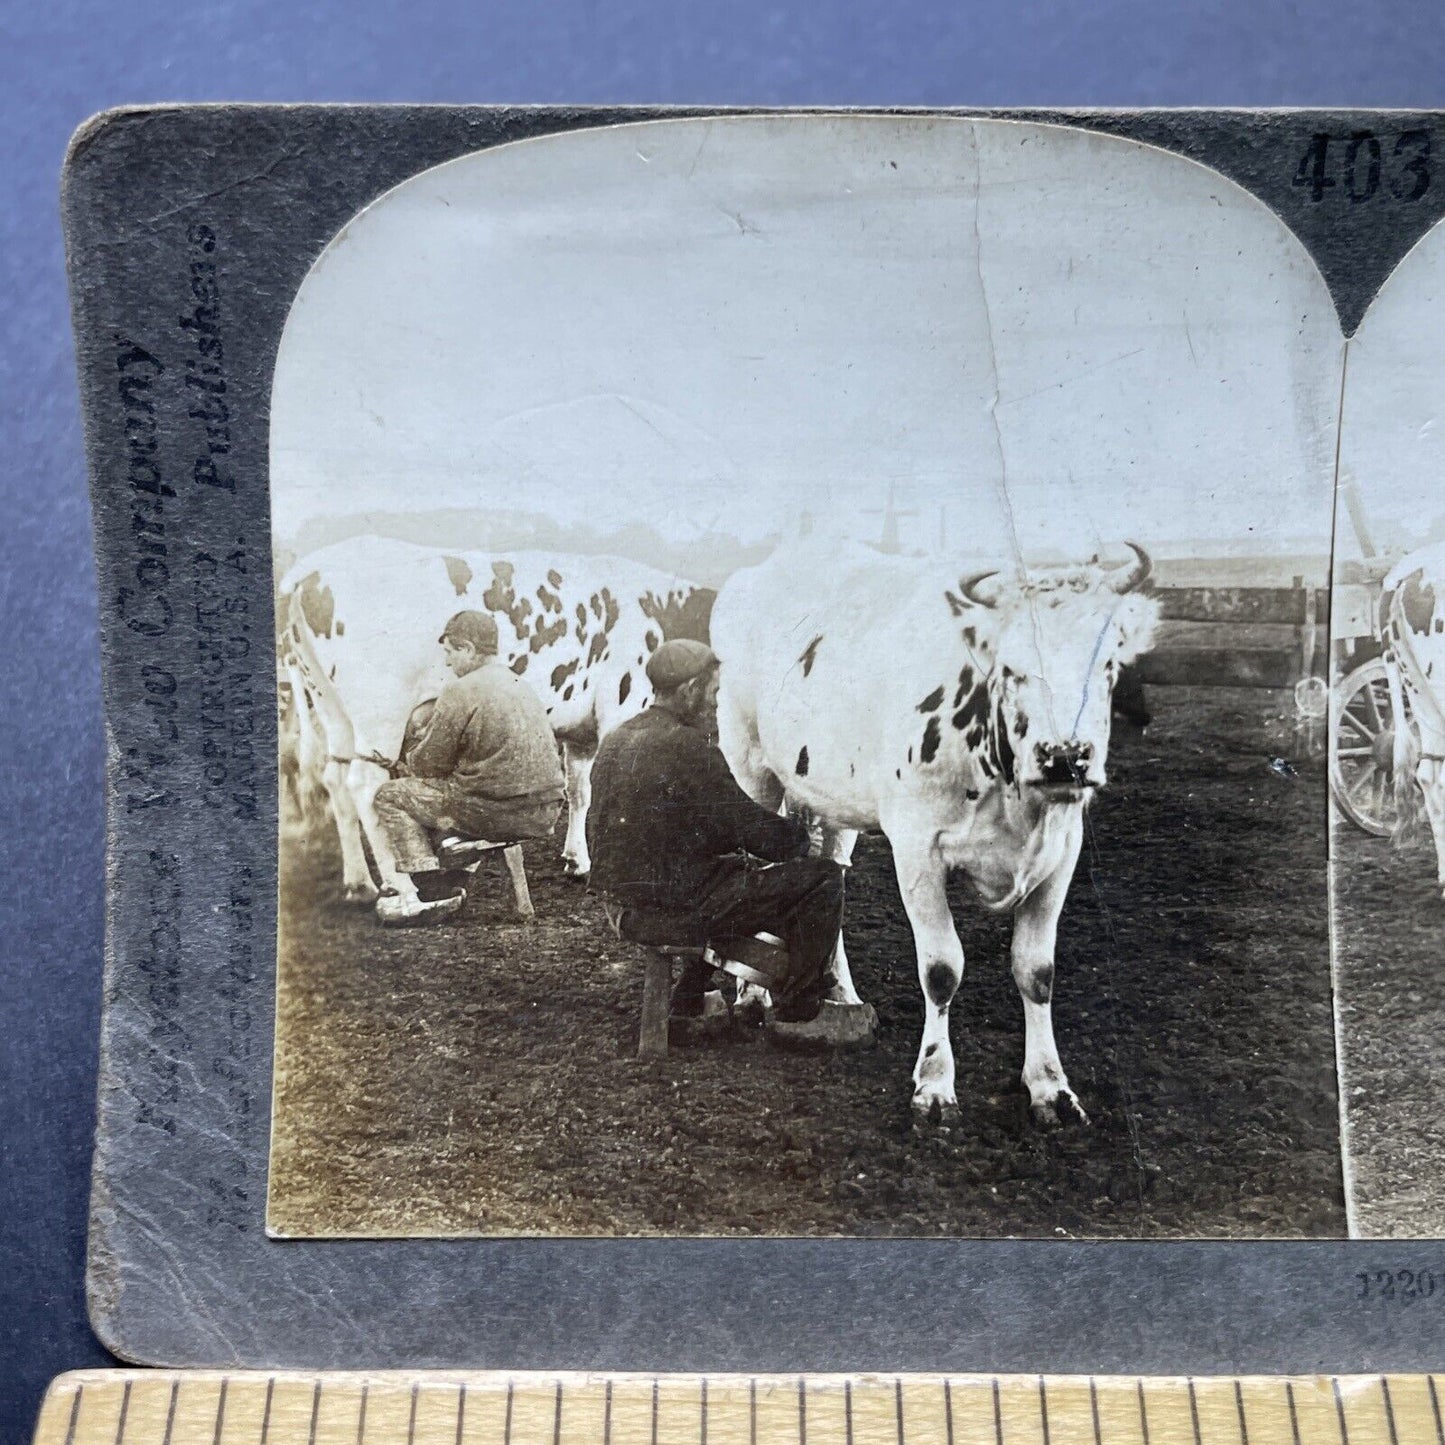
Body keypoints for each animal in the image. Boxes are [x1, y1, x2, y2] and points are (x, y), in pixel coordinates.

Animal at [278, 537, 708, 901]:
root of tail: (311, 570)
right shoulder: (622, 706)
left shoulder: (581, 729)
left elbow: (580, 790)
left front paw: (578, 862)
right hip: (380, 708)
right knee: (365, 784)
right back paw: (405, 891)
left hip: (329, 704)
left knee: (334, 778)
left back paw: (360, 885)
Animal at [713, 540, 1161, 1115]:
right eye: (1011, 669)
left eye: (1108, 664)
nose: (1065, 757)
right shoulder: (916, 849)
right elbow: (942, 969)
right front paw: (934, 1082)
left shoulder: (1063, 851)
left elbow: (1037, 971)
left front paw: (1050, 1085)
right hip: (749, 767)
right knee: (764, 861)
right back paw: (751, 994)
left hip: (832, 796)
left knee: (829, 869)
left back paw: (839, 990)